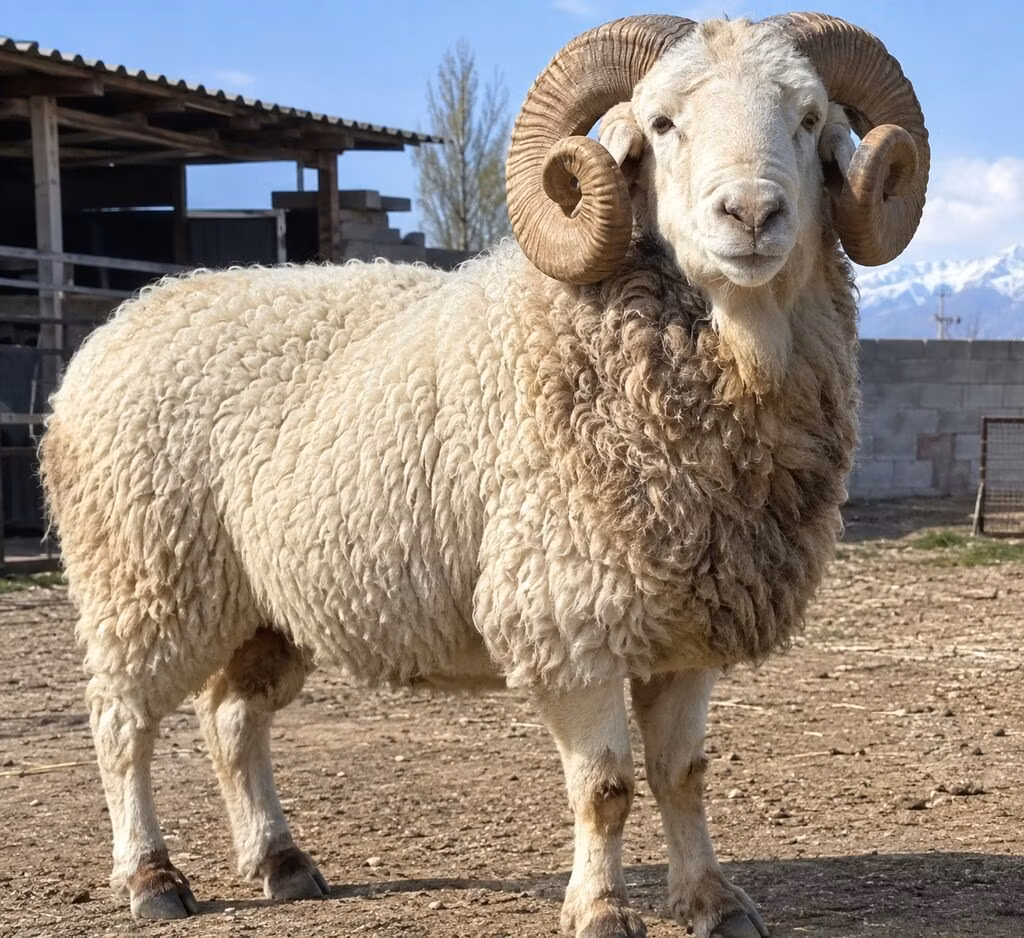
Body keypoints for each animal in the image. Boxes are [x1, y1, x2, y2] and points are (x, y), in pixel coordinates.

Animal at [39, 12, 928, 938]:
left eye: (808, 117)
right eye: (660, 124)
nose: (752, 212)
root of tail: (117, 325)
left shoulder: (689, 623)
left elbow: (681, 775)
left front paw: (714, 903)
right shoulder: (568, 620)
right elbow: (606, 787)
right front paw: (602, 910)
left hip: (264, 606)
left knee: (231, 721)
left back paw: (281, 862)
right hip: (144, 578)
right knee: (120, 723)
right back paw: (151, 878)